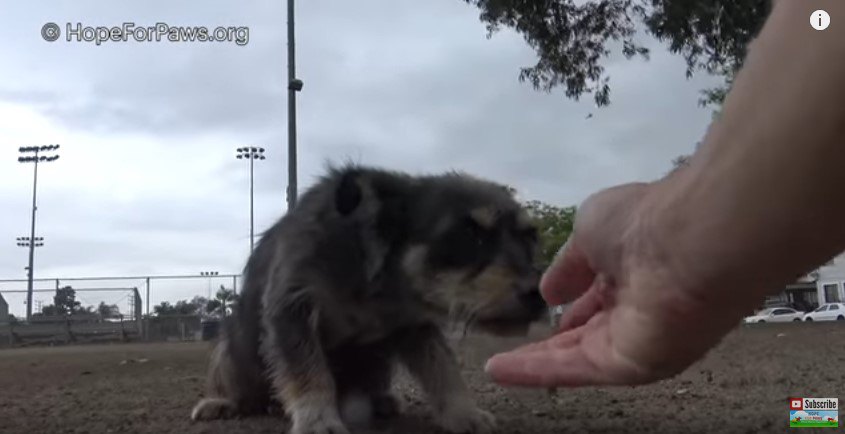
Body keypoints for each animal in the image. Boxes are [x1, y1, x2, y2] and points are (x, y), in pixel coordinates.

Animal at [190, 165, 548, 434]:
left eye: (530, 237)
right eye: (468, 234)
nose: (538, 293)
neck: (373, 275)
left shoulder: (415, 326)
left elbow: (443, 368)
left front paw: (465, 414)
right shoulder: (292, 307)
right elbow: (308, 369)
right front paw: (317, 419)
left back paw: (381, 400)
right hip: (231, 352)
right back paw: (221, 403)